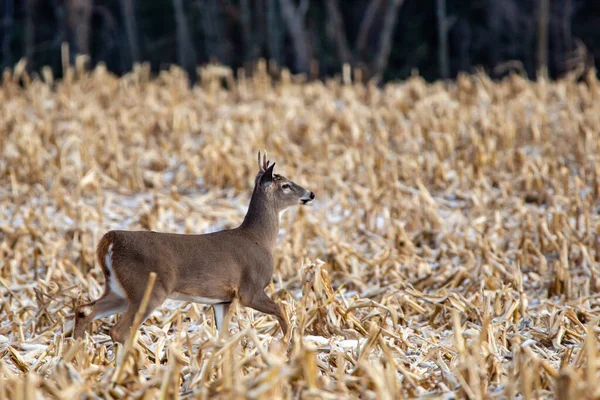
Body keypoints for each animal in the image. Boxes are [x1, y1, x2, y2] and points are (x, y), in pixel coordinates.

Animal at [73, 152, 316, 346]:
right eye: (285, 185)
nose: (311, 194)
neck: (259, 238)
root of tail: (110, 240)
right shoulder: (250, 289)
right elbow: (282, 309)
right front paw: (288, 344)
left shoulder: (224, 299)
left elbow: (223, 336)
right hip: (148, 287)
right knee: (119, 330)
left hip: (118, 288)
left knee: (84, 310)